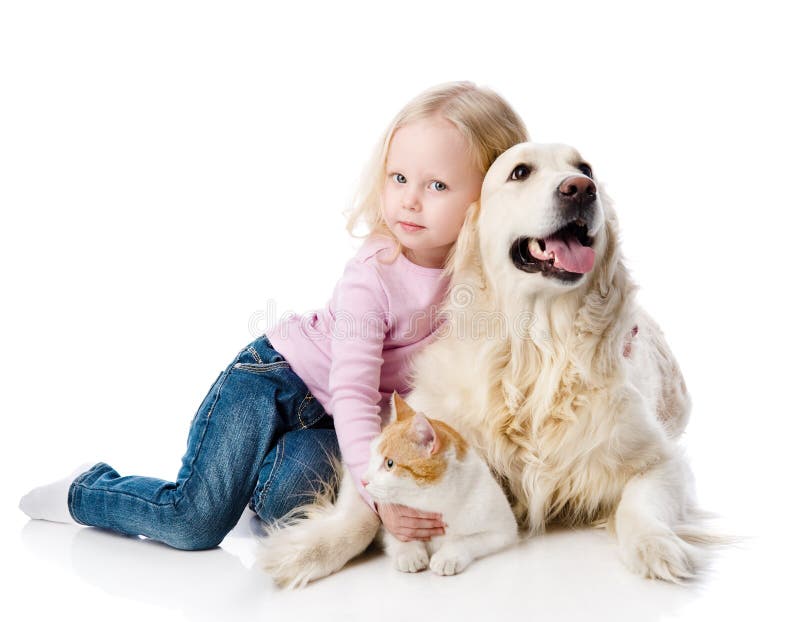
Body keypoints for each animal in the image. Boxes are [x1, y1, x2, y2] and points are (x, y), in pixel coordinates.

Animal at [258, 394, 520, 588]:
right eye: (371, 456)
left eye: (390, 463)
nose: (363, 480)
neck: (435, 503)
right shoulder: (389, 519)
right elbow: (393, 533)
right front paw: (410, 553)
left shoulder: (503, 529)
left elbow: (466, 541)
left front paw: (447, 557)